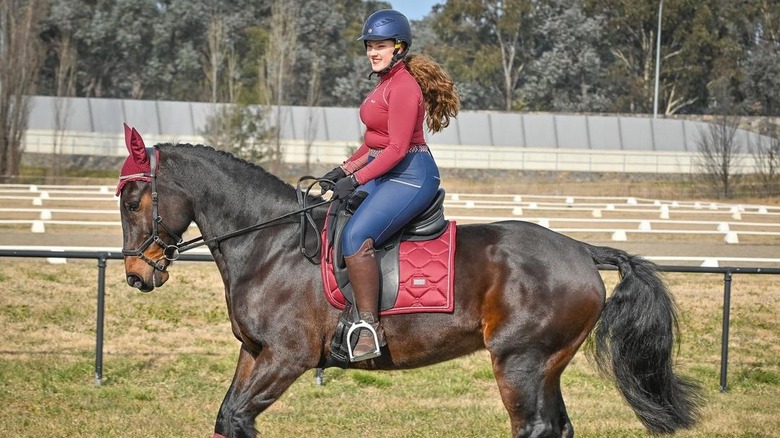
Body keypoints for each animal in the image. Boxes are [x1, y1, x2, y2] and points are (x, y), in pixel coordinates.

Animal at [119, 136, 704, 434]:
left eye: (133, 199)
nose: (137, 275)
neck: (270, 242)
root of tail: (582, 249)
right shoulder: (255, 352)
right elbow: (227, 416)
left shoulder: (286, 358)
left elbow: (239, 416)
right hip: (547, 366)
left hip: (520, 362)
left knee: (534, 428)